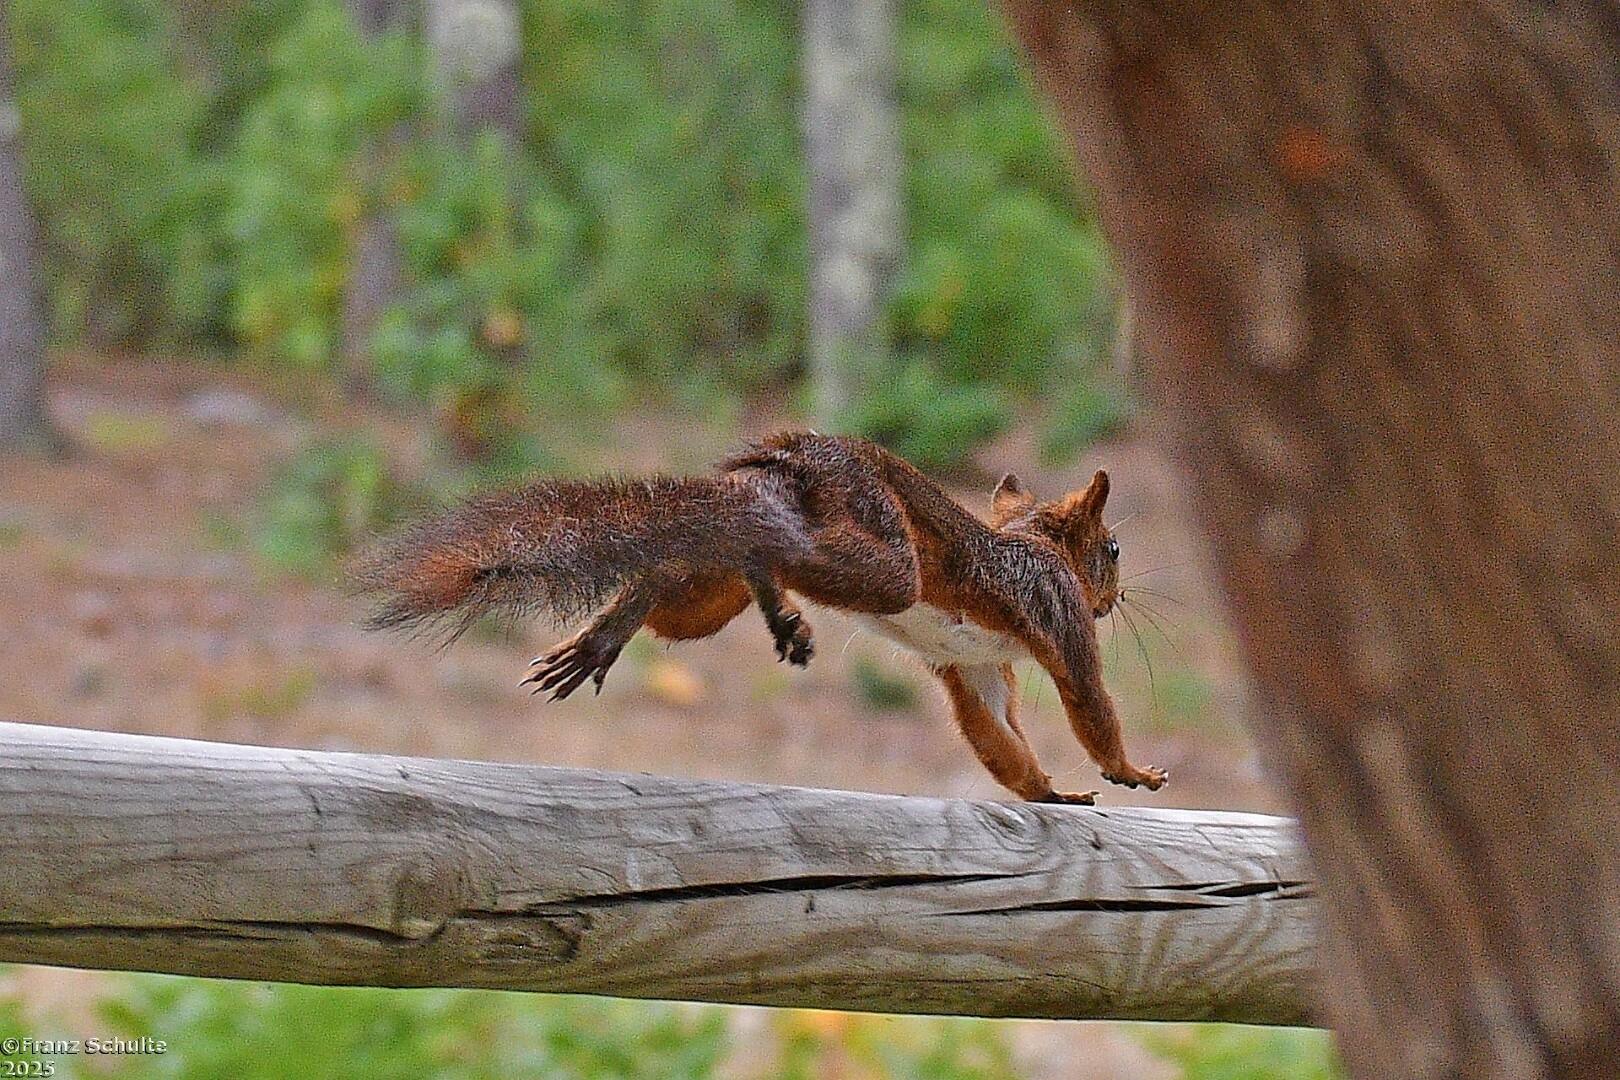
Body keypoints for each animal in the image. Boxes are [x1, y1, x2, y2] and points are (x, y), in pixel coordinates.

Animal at [352, 431, 1166, 804]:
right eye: (1113, 548)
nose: (1118, 598)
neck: (1032, 542)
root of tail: (787, 455)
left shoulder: (976, 668)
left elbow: (999, 739)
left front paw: (1051, 792)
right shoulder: (1059, 615)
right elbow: (1091, 704)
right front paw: (1129, 770)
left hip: (715, 592)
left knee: (690, 566)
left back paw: (613, 634)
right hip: (884, 559)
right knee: (777, 552)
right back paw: (775, 606)